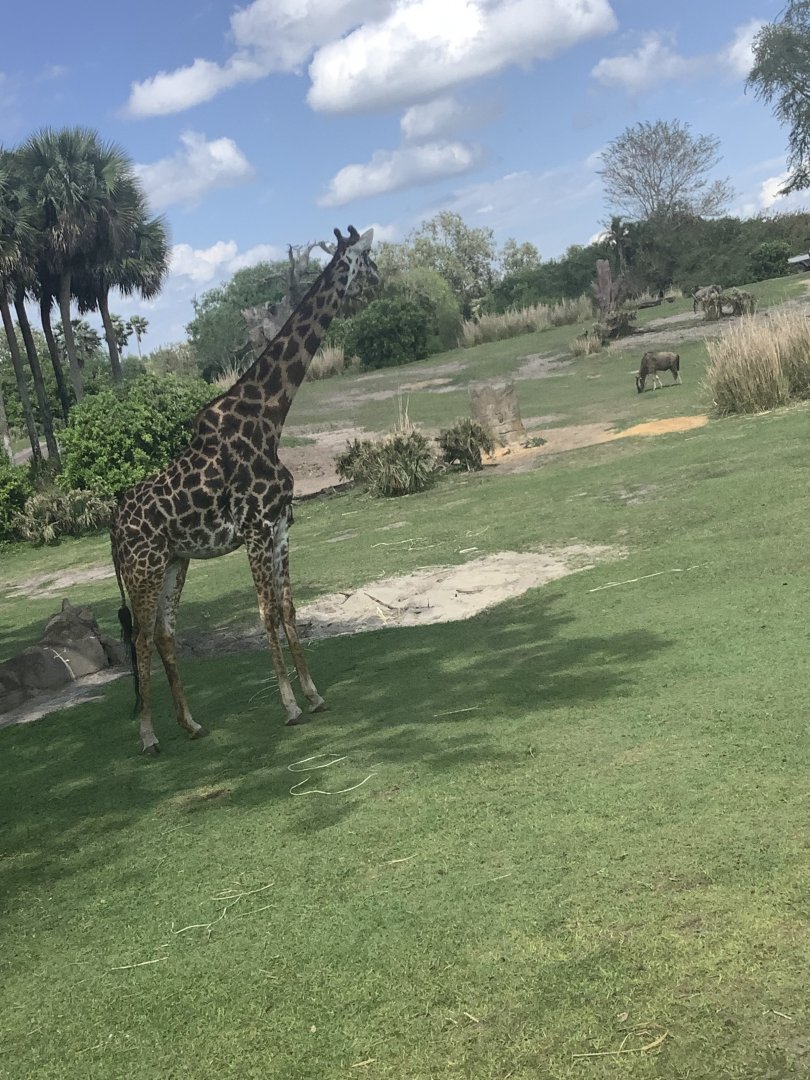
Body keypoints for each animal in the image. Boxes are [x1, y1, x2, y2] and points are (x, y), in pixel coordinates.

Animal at [111, 225, 378, 754]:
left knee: (165, 634)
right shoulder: (255, 529)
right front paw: (290, 707)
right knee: (140, 638)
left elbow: (290, 609)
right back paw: (149, 737)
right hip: (142, 567)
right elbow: (266, 613)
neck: (270, 417)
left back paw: (190, 724)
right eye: (370, 261)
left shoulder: (281, 527)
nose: (382, 286)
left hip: (175, 561)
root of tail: (112, 521)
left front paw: (314, 696)